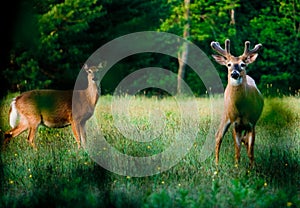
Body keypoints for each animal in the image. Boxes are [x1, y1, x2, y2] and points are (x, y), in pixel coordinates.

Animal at [210, 38, 264, 166]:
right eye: (228, 64)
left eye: (243, 64)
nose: (234, 73)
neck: (241, 110)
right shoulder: (235, 124)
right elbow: (237, 151)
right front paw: (237, 167)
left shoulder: (252, 123)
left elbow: (250, 151)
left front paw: (252, 167)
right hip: (225, 114)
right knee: (218, 135)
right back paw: (216, 164)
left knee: (245, 142)